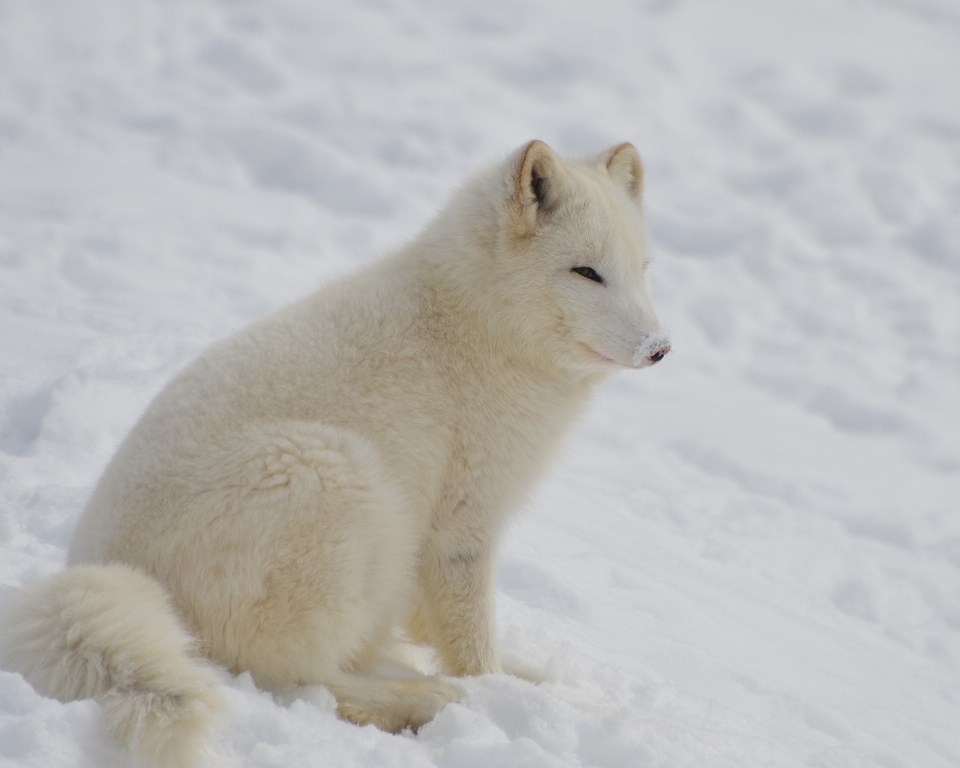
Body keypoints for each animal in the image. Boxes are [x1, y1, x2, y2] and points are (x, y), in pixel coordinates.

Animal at [1, 141, 668, 764]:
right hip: (340, 478)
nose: (660, 348)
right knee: (298, 681)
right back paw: (422, 705)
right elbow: (472, 645)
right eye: (586, 272)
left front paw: (530, 680)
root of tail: (104, 567)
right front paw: (498, 693)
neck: (472, 321)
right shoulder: (464, 527)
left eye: (642, 269)